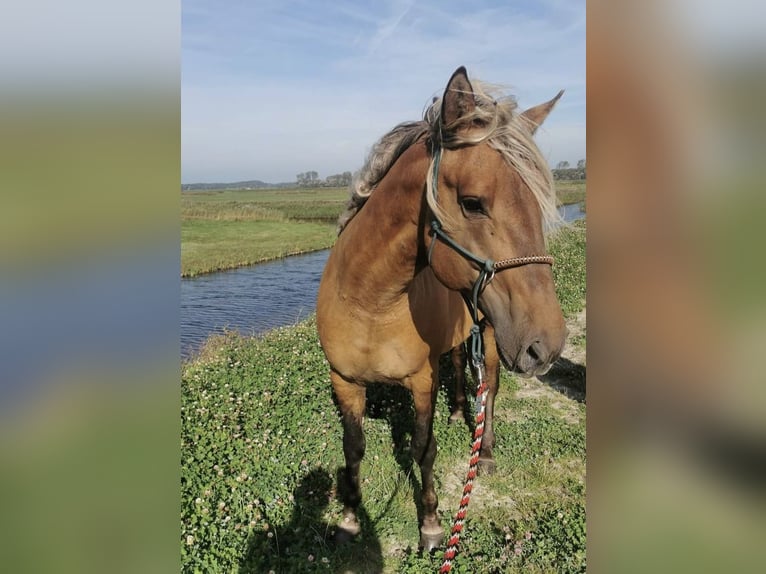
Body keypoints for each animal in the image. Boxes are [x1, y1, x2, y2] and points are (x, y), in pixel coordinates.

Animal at [318, 65, 568, 552]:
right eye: (473, 203)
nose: (547, 344)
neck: (370, 306)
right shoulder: (345, 381)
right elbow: (352, 448)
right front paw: (350, 519)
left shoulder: (420, 381)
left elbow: (423, 447)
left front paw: (431, 524)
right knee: (457, 365)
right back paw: (455, 412)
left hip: (491, 335)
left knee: (489, 389)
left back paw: (484, 453)